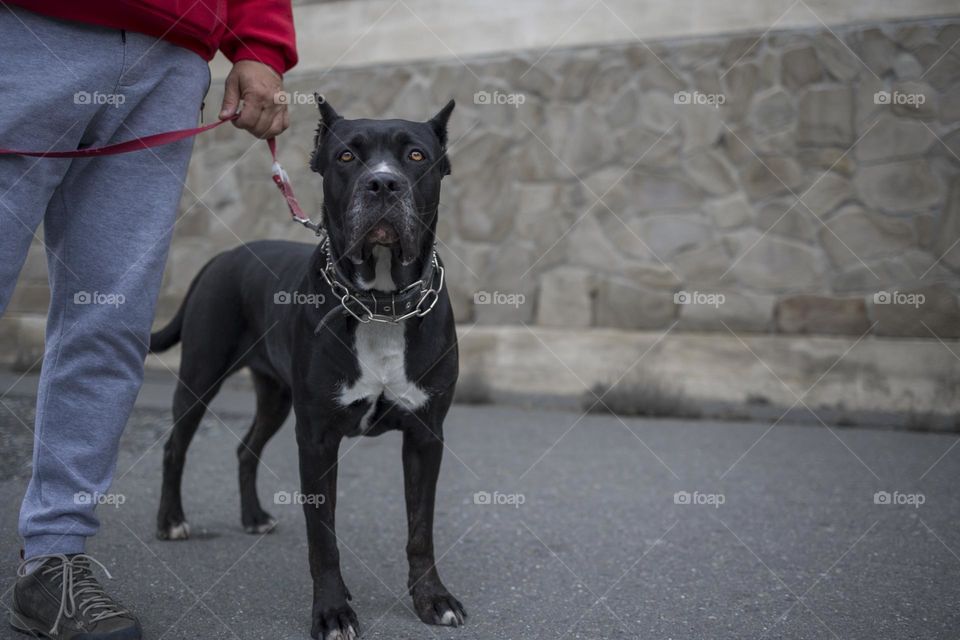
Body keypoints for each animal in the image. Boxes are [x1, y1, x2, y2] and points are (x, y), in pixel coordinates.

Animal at [150, 97, 464, 636]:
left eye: (416, 156)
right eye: (346, 157)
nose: (383, 184)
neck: (382, 304)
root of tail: (221, 258)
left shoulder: (426, 435)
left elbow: (420, 530)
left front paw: (433, 598)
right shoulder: (316, 438)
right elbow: (324, 539)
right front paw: (333, 611)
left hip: (276, 396)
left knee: (246, 448)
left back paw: (253, 516)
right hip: (200, 377)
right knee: (176, 446)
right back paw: (171, 521)